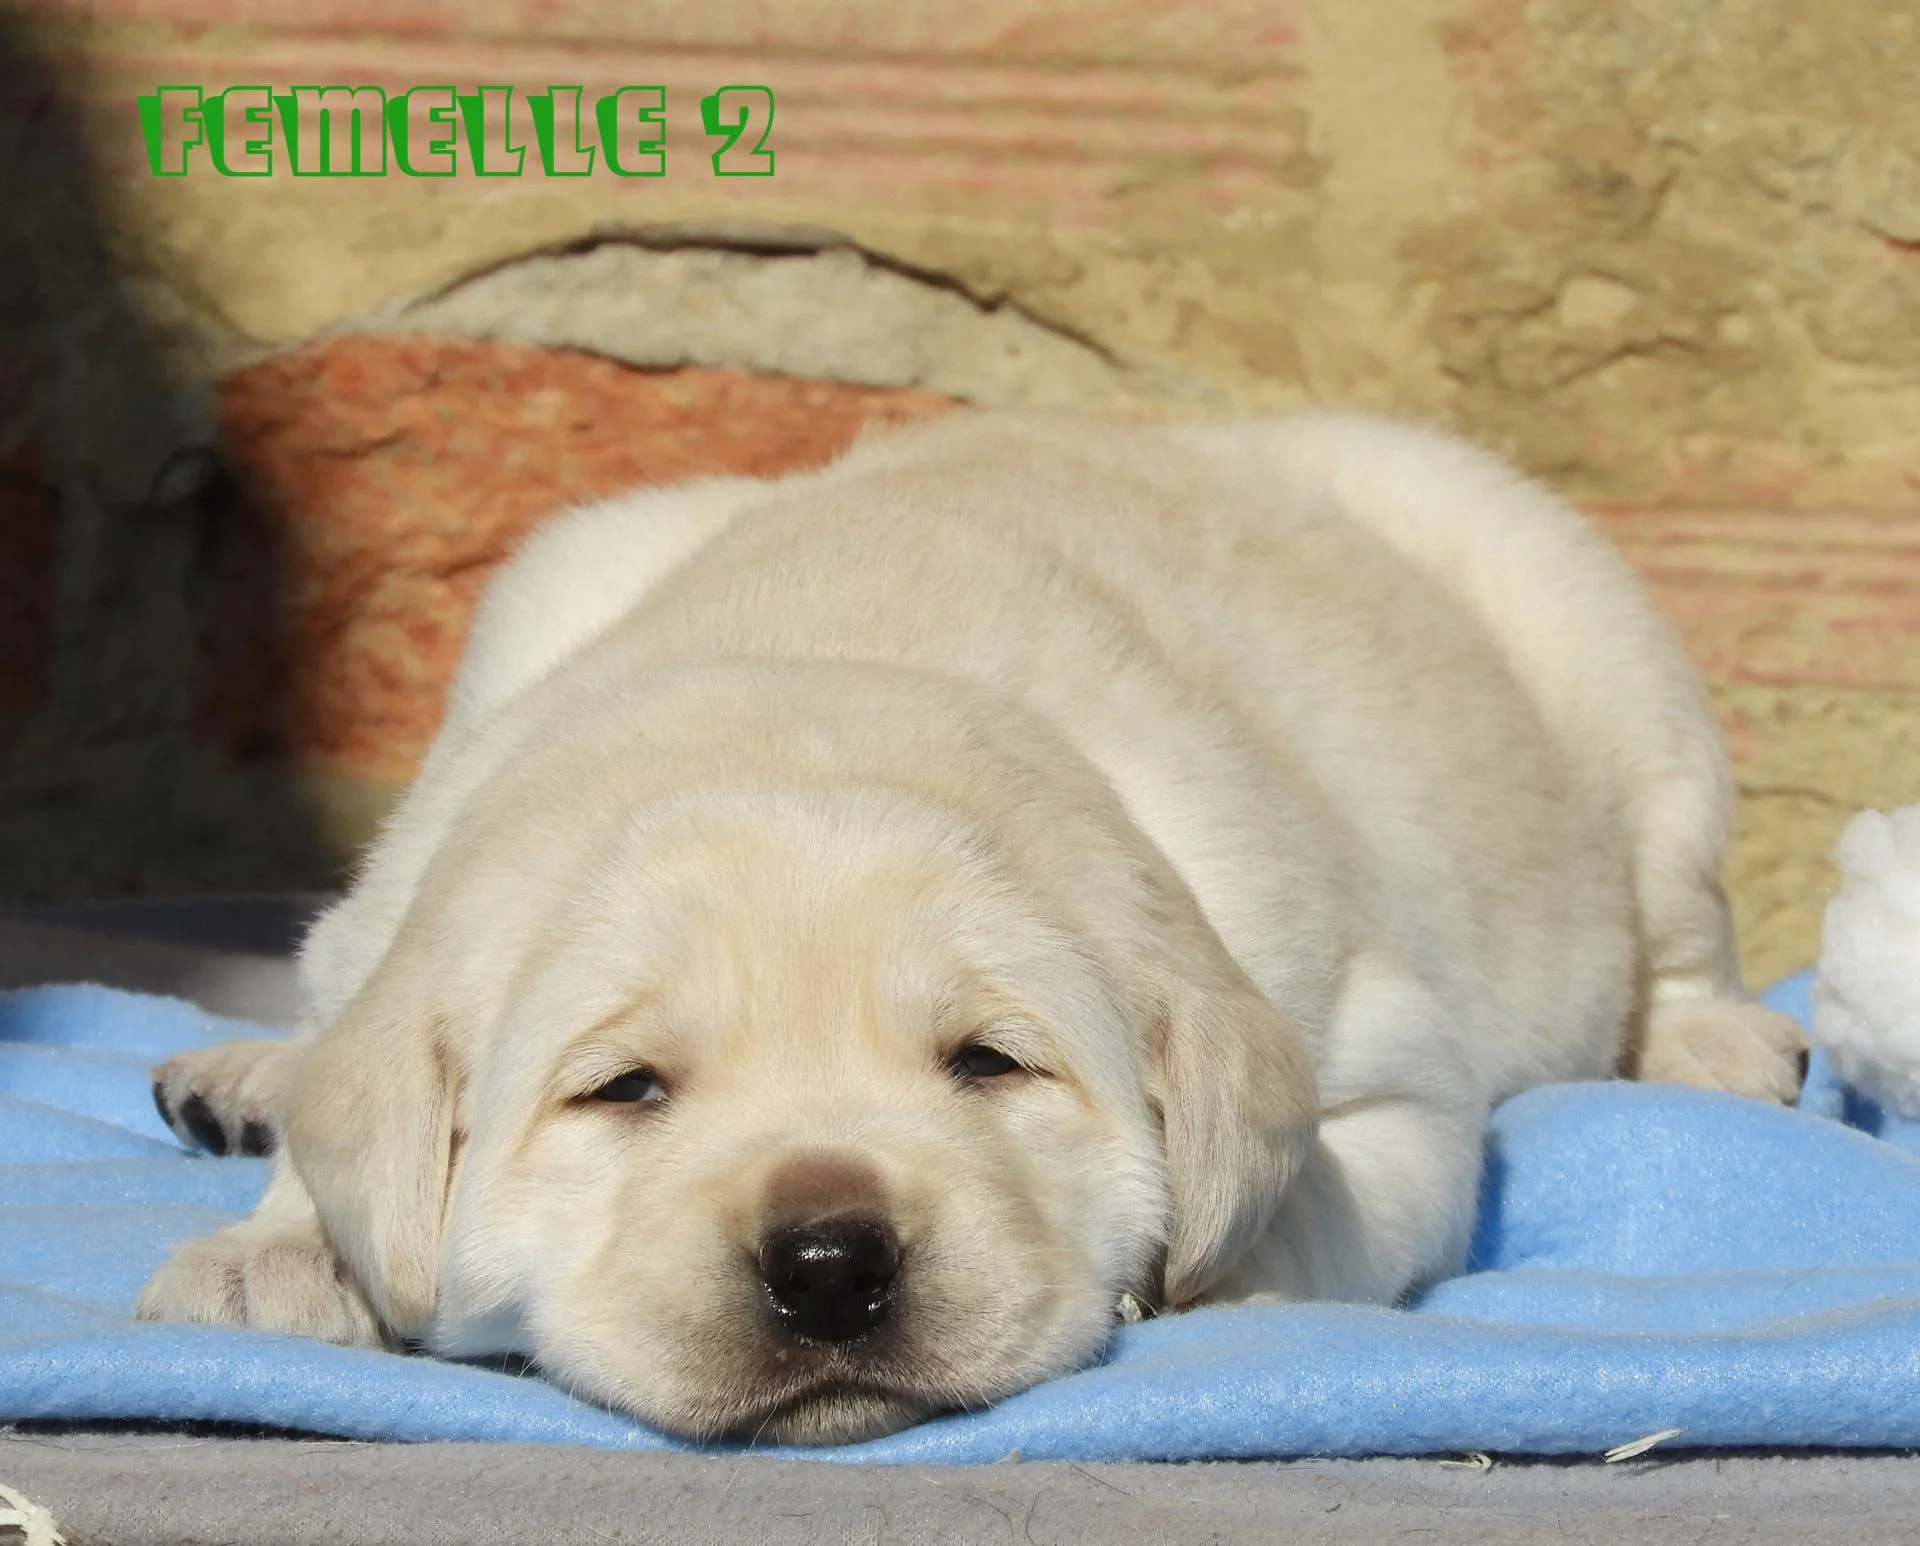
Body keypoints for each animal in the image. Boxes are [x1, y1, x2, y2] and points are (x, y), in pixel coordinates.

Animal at [136, 410, 1807, 1443]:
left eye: (987, 1063)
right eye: (627, 1090)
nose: (828, 1263)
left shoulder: (1379, 1068)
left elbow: (1303, 1205)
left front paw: (1182, 1271)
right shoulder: (405, 902)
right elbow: (353, 1105)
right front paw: (278, 1247)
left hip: (1596, 634)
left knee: (1677, 914)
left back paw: (1726, 1046)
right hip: (544, 586)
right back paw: (245, 1077)